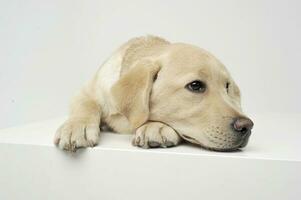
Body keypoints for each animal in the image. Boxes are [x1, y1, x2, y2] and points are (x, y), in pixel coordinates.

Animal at [54, 35, 253, 152]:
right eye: (196, 86)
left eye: (227, 86)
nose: (247, 126)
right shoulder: (86, 91)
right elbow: (86, 104)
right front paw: (76, 127)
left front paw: (155, 127)